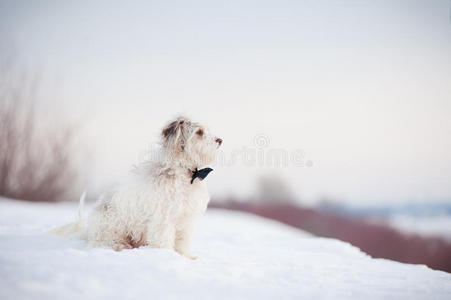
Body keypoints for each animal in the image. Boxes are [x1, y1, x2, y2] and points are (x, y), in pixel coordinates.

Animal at [53, 116, 223, 258]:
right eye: (199, 132)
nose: (220, 140)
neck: (185, 173)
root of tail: (88, 232)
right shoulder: (163, 219)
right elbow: (164, 240)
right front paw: (166, 255)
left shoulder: (185, 220)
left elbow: (183, 243)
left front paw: (186, 257)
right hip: (111, 227)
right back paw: (120, 246)